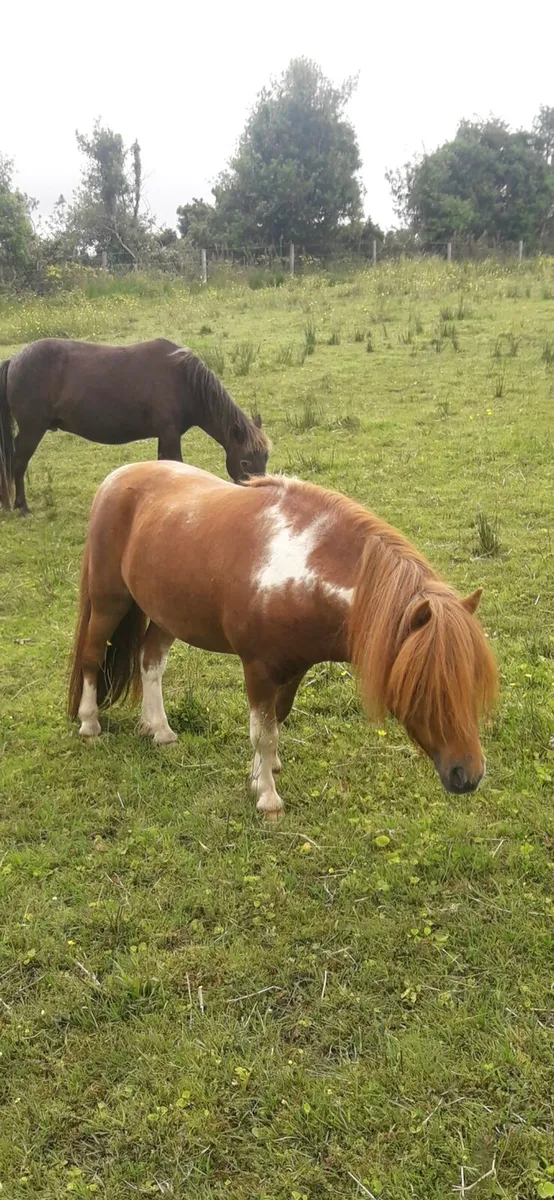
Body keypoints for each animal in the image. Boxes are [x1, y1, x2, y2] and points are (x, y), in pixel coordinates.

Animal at [0, 337, 269, 514]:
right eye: (245, 462)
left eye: (265, 458)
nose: (259, 496)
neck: (183, 380)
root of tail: (14, 360)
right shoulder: (170, 434)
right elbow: (176, 464)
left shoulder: (164, 435)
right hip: (32, 430)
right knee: (18, 463)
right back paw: (22, 507)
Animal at [67, 461, 498, 819]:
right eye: (425, 686)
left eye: (472, 682)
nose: (469, 775)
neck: (300, 568)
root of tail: (116, 478)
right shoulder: (258, 670)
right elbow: (263, 731)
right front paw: (268, 799)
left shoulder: (293, 669)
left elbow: (276, 721)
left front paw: (262, 773)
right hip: (108, 601)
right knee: (92, 657)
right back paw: (90, 725)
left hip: (165, 614)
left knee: (150, 662)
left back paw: (158, 729)